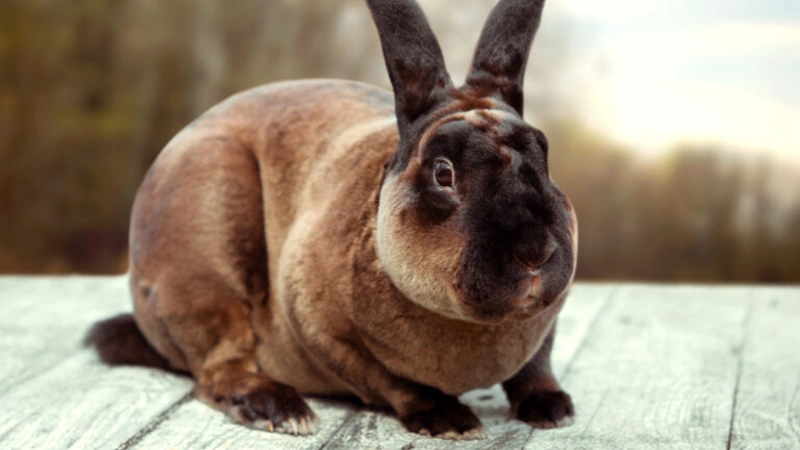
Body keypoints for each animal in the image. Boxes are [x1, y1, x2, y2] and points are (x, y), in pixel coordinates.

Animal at [85, 0, 577, 440]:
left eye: (544, 154)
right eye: (443, 172)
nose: (536, 250)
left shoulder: (546, 328)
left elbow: (536, 367)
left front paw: (553, 408)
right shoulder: (329, 337)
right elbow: (394, 382)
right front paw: (448, 419)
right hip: (203, 255)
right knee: (216, 370)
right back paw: (278, 407)